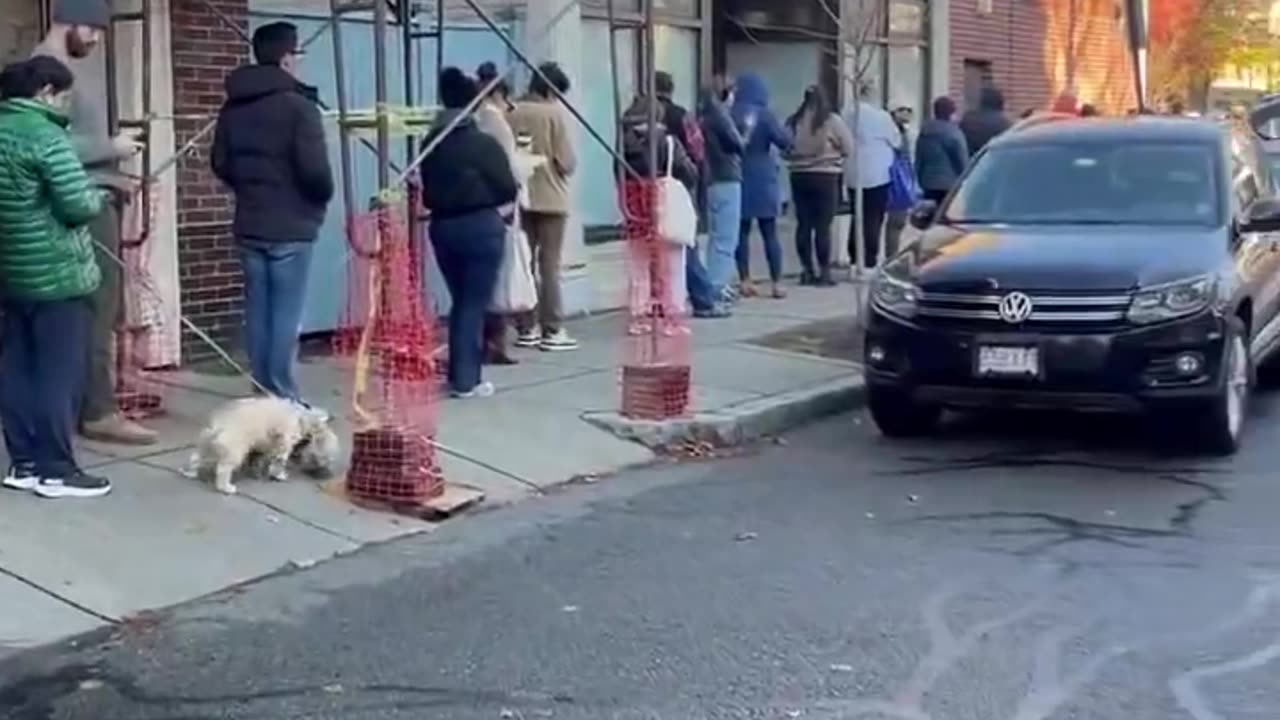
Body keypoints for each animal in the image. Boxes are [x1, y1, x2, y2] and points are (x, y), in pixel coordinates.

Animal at [183, 397, 340, 491]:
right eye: (328, 458)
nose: (328, 473)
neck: (302, 417)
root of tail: (218, 424)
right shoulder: (284, 441)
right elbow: (279, 460)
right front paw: (279, 475)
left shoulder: (263, 444)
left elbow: (258, 456)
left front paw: (256, 470)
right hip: (234, 447)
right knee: (223, 468)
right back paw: (226, 487)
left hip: (208, 442)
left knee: (196, 456)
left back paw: (190, 472)